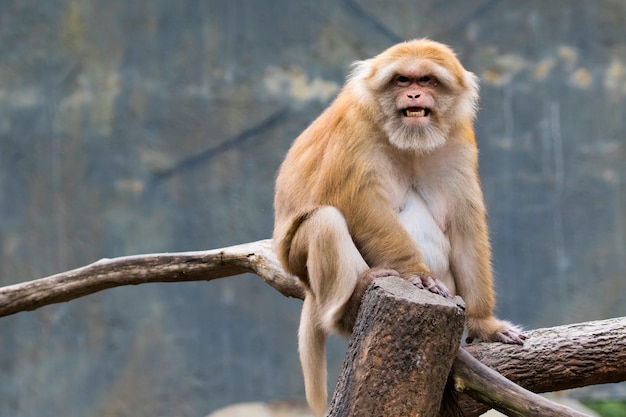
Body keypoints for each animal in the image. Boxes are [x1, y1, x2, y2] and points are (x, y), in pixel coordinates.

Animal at [272, 39, 520, 416]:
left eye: (427, 80)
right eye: (403, 79)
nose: (414, 95)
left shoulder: (458, 136)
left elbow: (465, 225)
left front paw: (485, 323)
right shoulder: (355, 125)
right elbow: (354, 201)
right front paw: (414, 272)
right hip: (302, 265)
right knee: (325, 222)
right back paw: (351, 304)